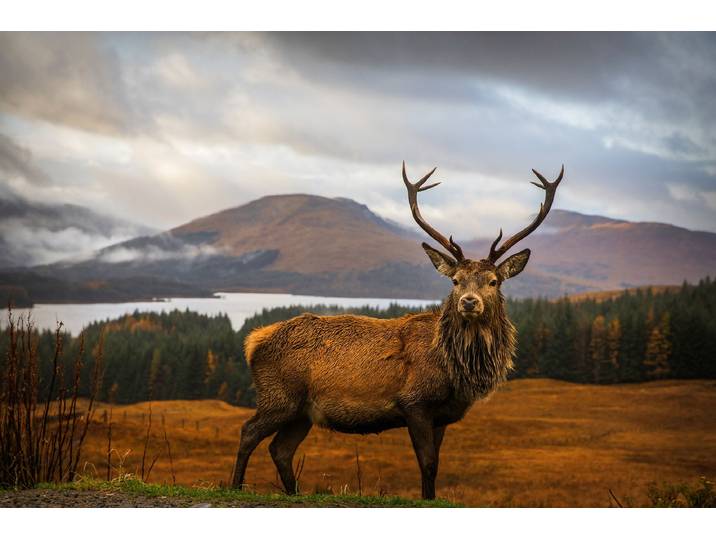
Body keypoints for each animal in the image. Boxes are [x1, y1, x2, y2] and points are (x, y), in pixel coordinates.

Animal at [231, 161, 565, 499]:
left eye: (493, 281)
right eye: (455, 280)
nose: (469, 302)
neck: (455, 371)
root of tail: (253, 341)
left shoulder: (442, 416)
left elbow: (436, 464)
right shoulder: (414, 402)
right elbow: (427, 463)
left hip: (302, 412)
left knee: (280, 449)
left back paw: (293, 493)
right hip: (279, 396)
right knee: (248, 432)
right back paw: (235, 486)